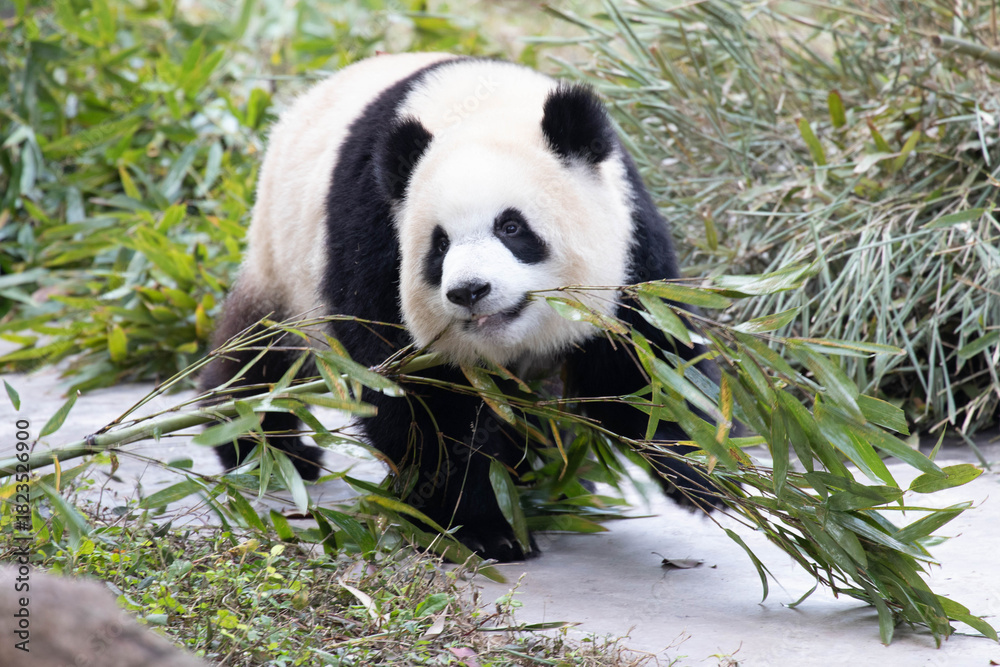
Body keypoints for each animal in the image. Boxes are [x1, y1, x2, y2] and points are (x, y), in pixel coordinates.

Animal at [200, 52, 723, 562]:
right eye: (439, 245)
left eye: (511, 227)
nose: (470, 291)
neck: (481, 107)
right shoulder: (376, 233)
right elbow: (417, 398)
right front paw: (481, 526)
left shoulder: (630, 241)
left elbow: (648, 361)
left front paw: (702, 473)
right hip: (284, 256)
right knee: (262, 351)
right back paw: (261, 443)